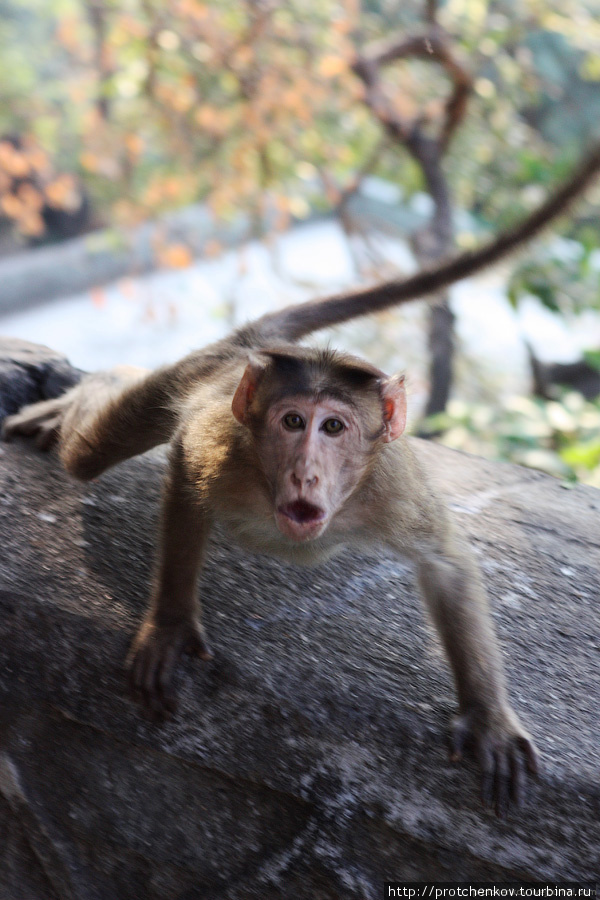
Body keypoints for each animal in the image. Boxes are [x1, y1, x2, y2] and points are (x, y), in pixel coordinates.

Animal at [3, 142, 600, 816]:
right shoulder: (219, 451)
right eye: (293, 422)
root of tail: (252, 351)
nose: (307, 470)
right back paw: (87, 389)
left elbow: (445, 562)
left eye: (334, 428)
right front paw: (172, 622)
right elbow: (183, 471)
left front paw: (488, 717)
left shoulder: (390, 485)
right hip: (198, 377)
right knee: (91, 449)